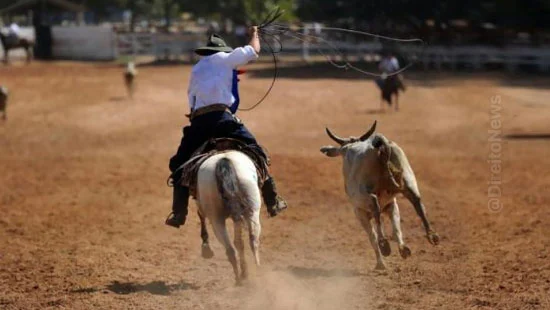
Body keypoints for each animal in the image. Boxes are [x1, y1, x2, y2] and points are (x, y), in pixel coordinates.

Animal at [196, 150, 264, 284]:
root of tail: (224, 160)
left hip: (217, 219)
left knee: (233, 247)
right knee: (251, 240)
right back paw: (251, 273)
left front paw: (206, 248)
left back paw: (240, 277)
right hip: (252, 211)